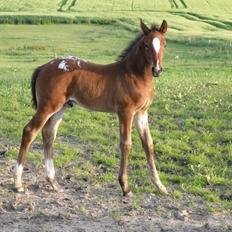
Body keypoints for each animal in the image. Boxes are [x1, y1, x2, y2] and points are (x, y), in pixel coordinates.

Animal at [13, 19, 168, 196]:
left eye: (164, 44)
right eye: (146, 45)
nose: (157, 69)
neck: (134, 75)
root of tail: (43, 67)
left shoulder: (142, 113)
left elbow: (148, 144)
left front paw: (160, 186)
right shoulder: (125, 111)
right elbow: (126, 144)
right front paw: (125, 187)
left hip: (61, 107)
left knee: (48, 134)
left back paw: (53, 183)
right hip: (47, 107)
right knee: (30, 131)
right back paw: (18, 183)